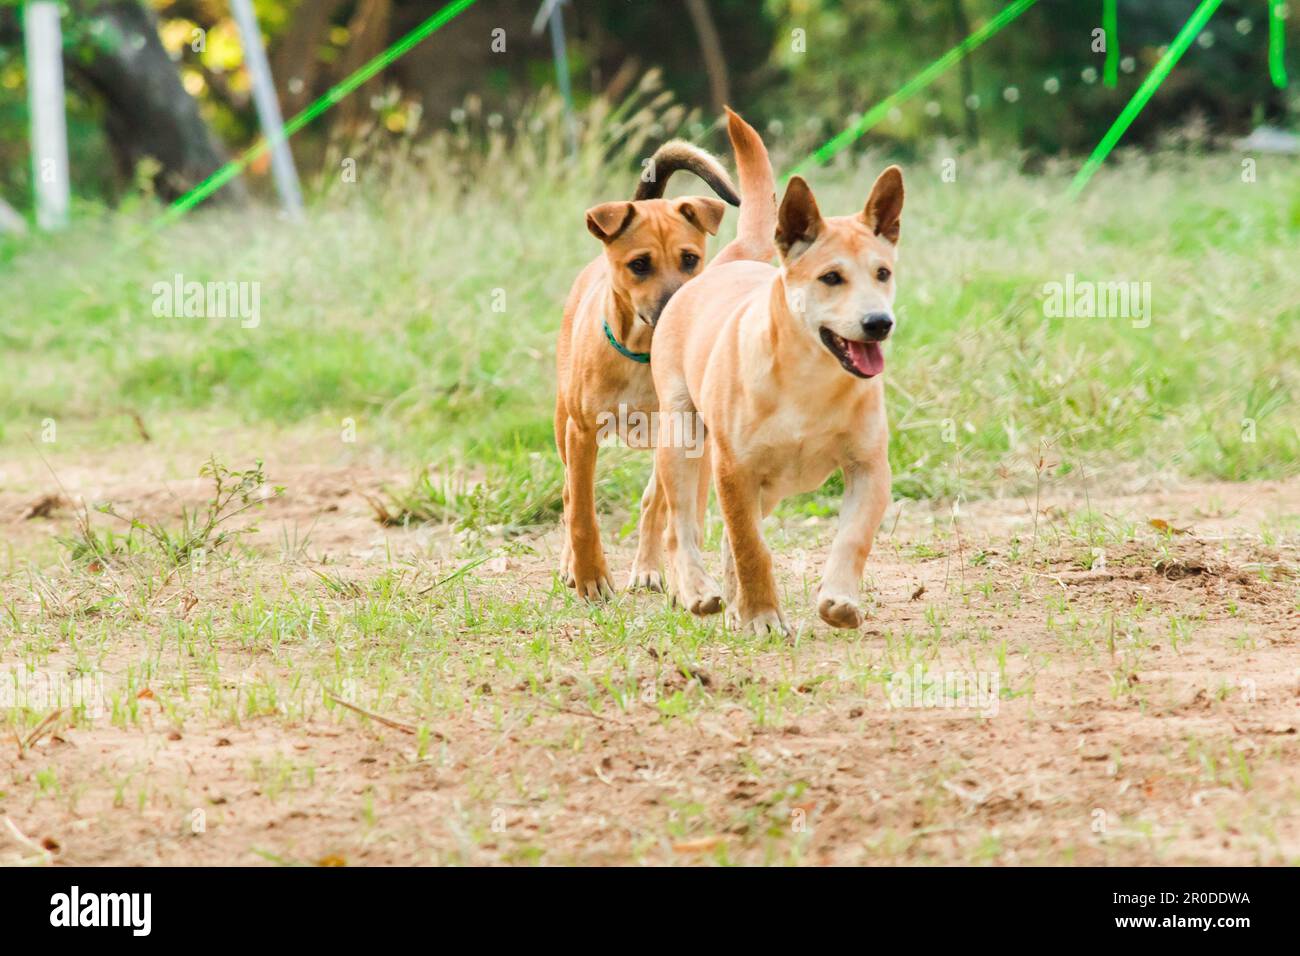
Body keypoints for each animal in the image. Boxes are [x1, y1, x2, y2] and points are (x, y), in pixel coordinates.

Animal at [553, 134, 748, 598]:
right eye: (639, 264)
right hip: (560, 420)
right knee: (568, 493)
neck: (642, 355)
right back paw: (571, 564)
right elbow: (582, 510)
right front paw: (590, 575)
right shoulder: (580, 433)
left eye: (690, 259)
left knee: (657, 504)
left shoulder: (677, 433)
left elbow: (660, 507)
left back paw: (649, 568)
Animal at [650, 130, 904, 634]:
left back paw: (733, 605)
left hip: (768, 486)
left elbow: (853, 537)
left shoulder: (869, 467)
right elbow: (751, 547)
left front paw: (839, 598)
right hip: (681, 438)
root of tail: (726, 263)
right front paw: (763, 617)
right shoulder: (734, 470)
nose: (879, 323)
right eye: (831, 277)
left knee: (726, 538)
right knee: (681, 526)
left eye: (883, 273)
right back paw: (699, 591)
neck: (809, 380)